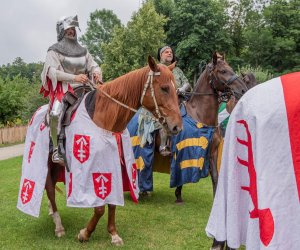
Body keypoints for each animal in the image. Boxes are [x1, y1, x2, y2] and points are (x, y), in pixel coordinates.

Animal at [44, 55, 180, 245]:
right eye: (164, 88)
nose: (177, 127)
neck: (104, 118)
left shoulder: (116, 166)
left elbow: (113, 202)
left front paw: (113, 233)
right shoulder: (94, 169)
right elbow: (100, 207)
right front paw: (85, 233)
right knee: (49, 189)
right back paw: (58, 225)